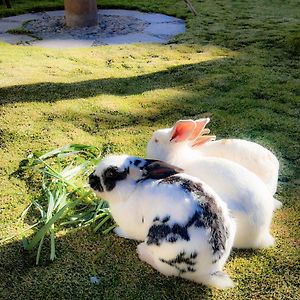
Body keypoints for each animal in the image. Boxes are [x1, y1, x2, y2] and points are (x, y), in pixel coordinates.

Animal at [89, 155, 237, 288]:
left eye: (111, 173)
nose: (90, 178)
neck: (133, 190)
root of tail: (208, 271)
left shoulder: (131, 227)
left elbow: (128, 233)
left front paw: (117, 231)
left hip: (159, 244)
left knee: (165, 269)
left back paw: (142, 251)